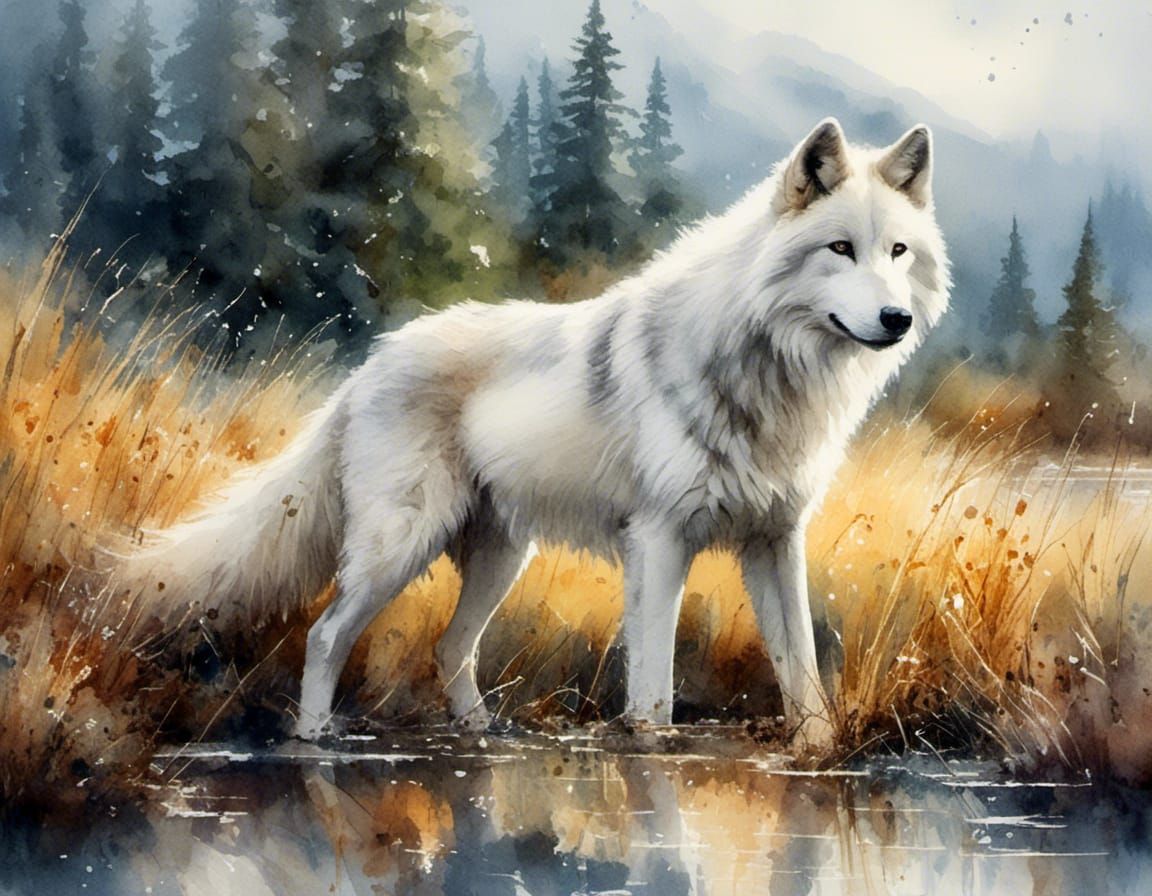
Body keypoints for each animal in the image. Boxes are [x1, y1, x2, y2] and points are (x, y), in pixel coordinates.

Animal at [124, 118, 949, 744]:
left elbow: (801, 671)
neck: (768, 373)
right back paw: (315, 738)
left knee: (449, 647)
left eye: (897, 251)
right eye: (840, 249)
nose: (896, 319)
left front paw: (817, 749)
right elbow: (654, 690)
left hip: (500, 557)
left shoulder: (775, 542)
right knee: (326, 636)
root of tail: (368, 367)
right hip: (401, 546)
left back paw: (481, 735)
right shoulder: (660, 542)